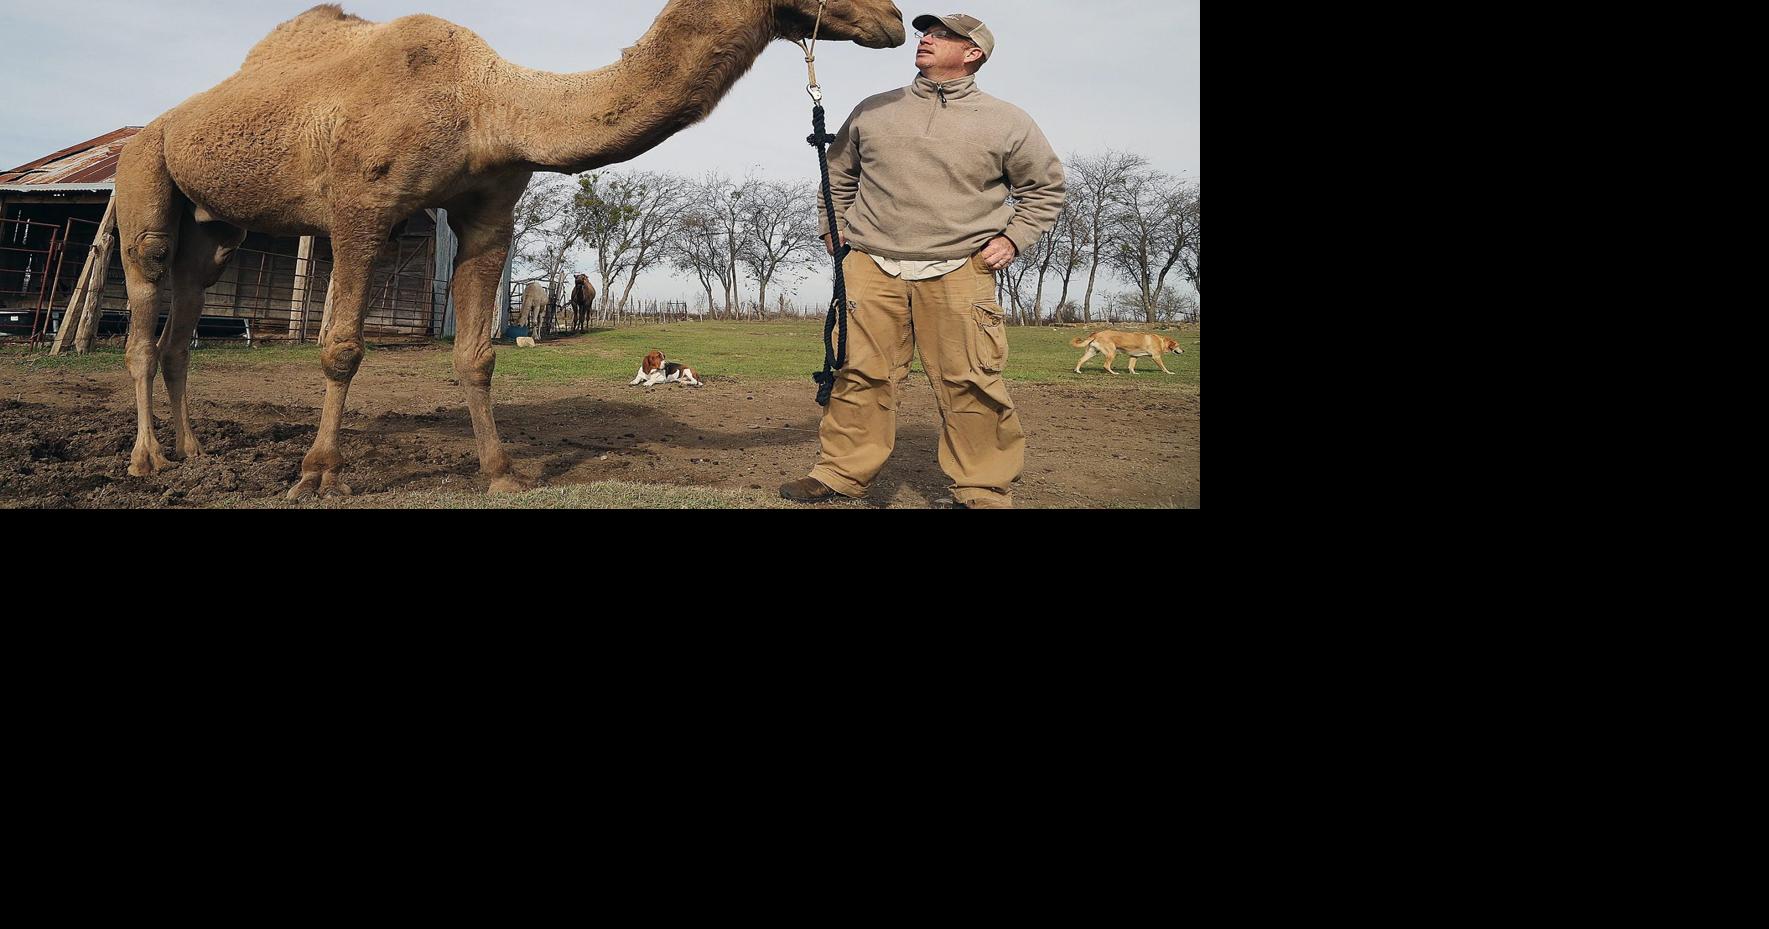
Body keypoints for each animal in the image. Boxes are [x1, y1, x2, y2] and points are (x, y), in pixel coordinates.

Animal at [113, 1, 905, 499]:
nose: (896, 18)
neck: (490, 105)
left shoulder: (490, 212)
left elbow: (477, 353)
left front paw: (501, 473)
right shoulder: (359, 208)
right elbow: (341, 348)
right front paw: (316, 475)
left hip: (217, 227)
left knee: (185, 321)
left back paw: (197, 454)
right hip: (143, 179)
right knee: (144, 313)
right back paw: (147, 462)